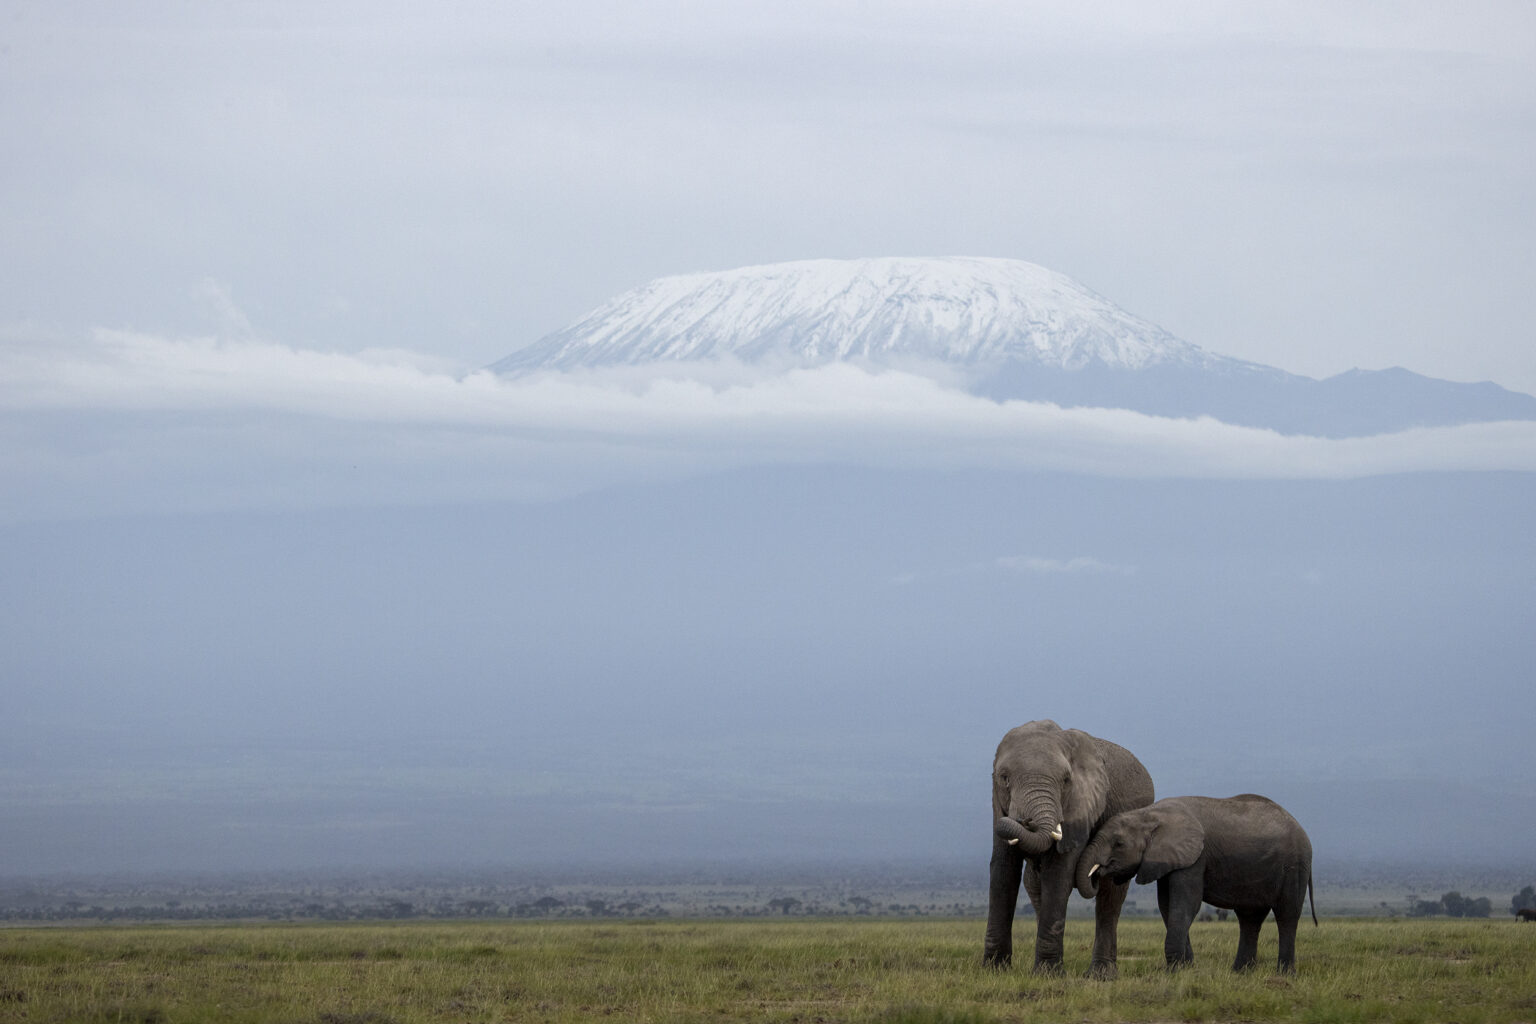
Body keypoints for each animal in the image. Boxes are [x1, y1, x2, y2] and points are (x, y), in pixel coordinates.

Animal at [983, 721, 1155, 976]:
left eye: (1065, 780)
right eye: (1004, 778)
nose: (1026, 821)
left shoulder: (1081, 806)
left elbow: (1058, 873)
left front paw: (1047, 974)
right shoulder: (998, 805)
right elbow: (1003, 870)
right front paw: (994, 971)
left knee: (1110, 897)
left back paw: (1101, 976)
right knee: (1034, 886)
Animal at [1075, 798, 1314, 976]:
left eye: (1119, 844)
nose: (1098, 874)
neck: (1150, 814)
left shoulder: (1195, 858)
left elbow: (1185, 905)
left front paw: (1174, 972)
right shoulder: (1167, 860)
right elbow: (1167, 907)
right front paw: (1185, 969)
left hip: (1295, 865)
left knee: (1287, 915)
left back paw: (1284, 974)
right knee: (1250, 918)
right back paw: (1240, 973)